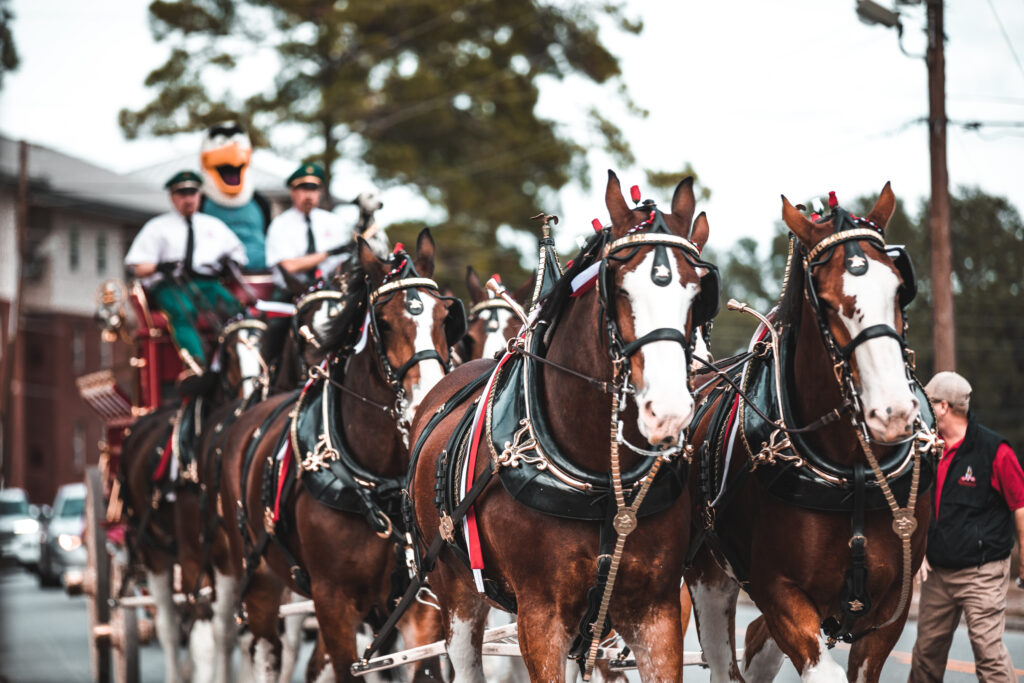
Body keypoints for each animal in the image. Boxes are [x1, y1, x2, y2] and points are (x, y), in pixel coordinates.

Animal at [223, 232, 464, 679]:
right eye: (382, 323)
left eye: (445, 318)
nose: (427, 403)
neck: (379, 482)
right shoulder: (332, 601)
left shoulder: (420, 607)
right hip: (259, 581)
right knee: (265, 651)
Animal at [407, 172, 720, 683]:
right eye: (620, 289)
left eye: (698, 293)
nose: (669, 410)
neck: (600, 482)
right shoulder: (541, 617)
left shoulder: (656, 612)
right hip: (457, 590)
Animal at [684, 183, 937, 683]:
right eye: (825, 298)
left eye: (900, 290)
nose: (893, 412)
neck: (852, 469)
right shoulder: (778, 591)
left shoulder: (891, 609)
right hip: (708, 575)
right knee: (724, 663)